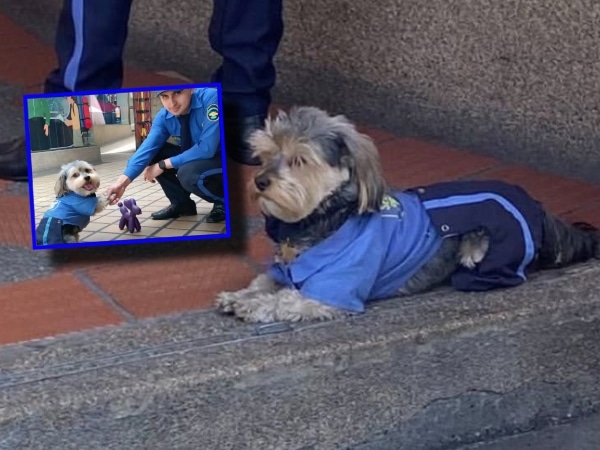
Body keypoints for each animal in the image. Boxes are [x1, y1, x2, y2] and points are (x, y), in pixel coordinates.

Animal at [217, 107, 600, 322]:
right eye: (266, 153)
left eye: (299, 160)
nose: (260, 181)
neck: (326, 219)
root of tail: (540, 209)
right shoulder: (285, 269)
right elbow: (264, 281)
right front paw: (240, 296)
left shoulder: (331, 292)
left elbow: (287, 299)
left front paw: (256, 306)